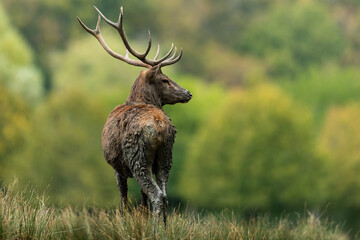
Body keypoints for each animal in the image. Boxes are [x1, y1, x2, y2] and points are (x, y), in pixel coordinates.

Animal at [76, 7, 191, 225]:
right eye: (165, 79)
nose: (188, 93)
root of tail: (159, 127)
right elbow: (142, 201)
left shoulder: (117, 167)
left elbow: (124, 200)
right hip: (166, 155)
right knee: (163, 194)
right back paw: (163, 227)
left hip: (138, 158)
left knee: (156, 194)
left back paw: (155, 229)